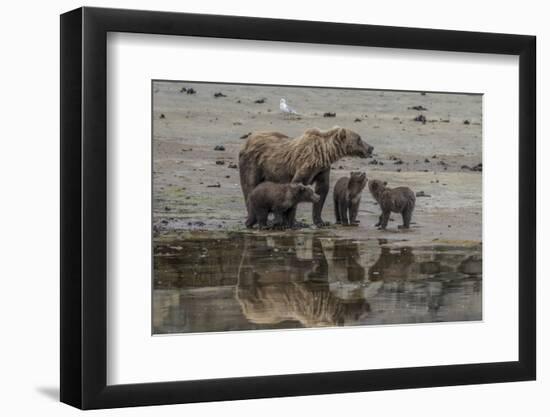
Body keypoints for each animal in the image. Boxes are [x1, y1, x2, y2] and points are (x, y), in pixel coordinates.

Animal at [240, 126, 376, 226]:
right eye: (359, 138)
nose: (371, 147)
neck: (324, 153)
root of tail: (247, 141)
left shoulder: (322, 170)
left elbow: (322, 190)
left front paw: (321, 221)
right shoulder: (306, 165)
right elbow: (297, 186)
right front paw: (292, 222)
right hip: (253, 163)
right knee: (249, 186)